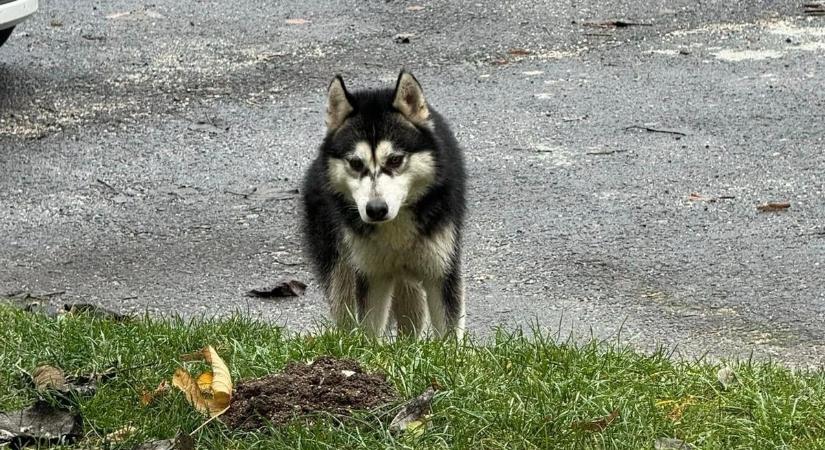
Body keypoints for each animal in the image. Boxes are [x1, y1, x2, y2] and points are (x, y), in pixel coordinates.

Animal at [302, 69, 466, 338]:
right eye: (355, 163)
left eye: (395, 159)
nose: (376, 210)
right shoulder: (371, 275)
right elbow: (368, 330)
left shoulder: (441, 270)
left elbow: (449, 334)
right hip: (342, 266)